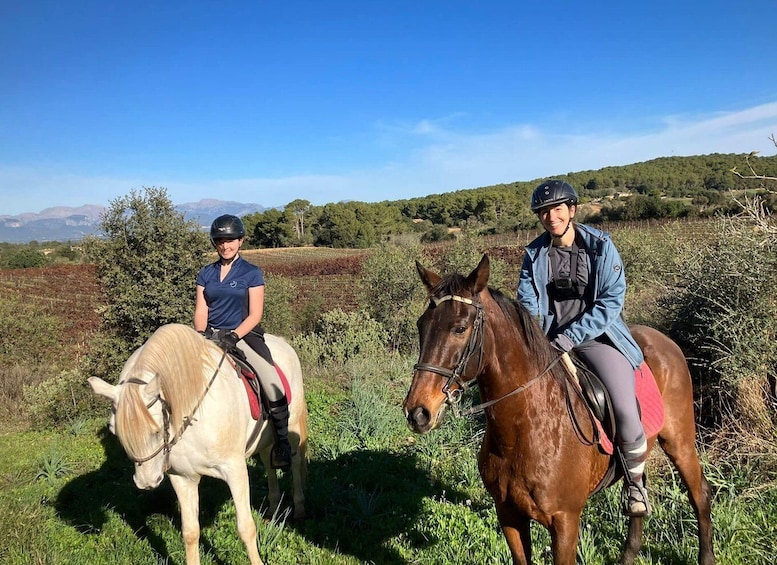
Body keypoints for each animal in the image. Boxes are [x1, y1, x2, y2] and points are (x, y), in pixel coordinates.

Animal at [89, 322, 308, 564]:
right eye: (114, 431)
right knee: (269, 464)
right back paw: (272, 510)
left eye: (156, 430)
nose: (146, 482)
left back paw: (299, 509)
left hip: (292, 427)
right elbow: (190, 532)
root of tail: (282, 342)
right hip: (265, 439)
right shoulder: (182, 477)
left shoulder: (235, 470)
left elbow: (246, 527)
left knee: (295, 463)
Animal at [404, 256, 712, 564]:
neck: (523, 428)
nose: (417, 412)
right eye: (421, 325)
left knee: (700, 493)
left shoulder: (565, 521)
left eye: (459, 328)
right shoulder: (508, 514)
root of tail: (664, 341)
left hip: (679, 442)